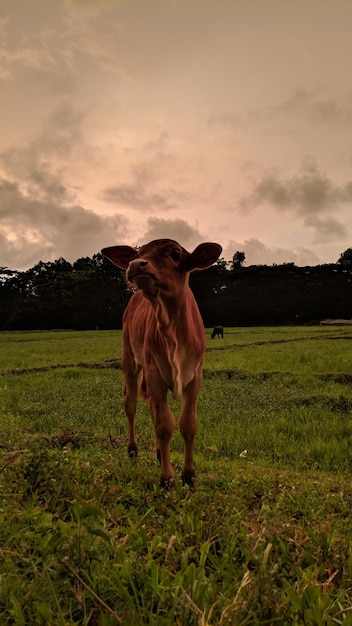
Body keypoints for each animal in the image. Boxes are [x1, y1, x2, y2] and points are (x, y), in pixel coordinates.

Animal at [103, 236, 221, 486]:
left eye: (175, 254)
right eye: (138, 254)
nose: (136, 264)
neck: (173, 331)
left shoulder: (194, 377)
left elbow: (187, 424)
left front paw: (189, 475)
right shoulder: (154, 373)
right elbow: (164, 425)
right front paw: (167, 479)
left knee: (151, 409)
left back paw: (159, 453)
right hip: (129, 358)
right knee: (131, 404)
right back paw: (133, 449)